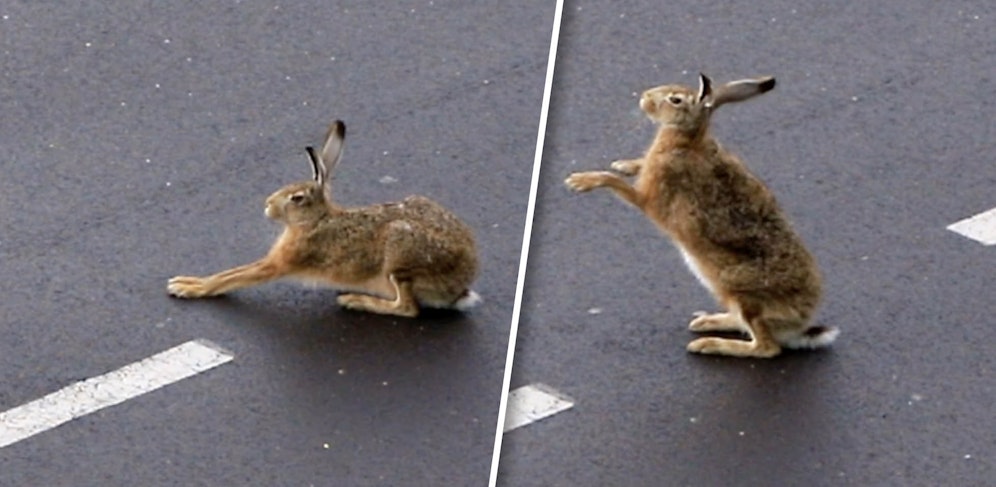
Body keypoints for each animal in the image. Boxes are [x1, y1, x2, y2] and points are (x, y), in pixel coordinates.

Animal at [168, 120, 481, 318]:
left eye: (296, 198)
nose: (267, 205)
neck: (315, 220)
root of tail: (459, 286)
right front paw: (185, 282)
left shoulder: (281, 262)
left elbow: (232, 276)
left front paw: (187, 287)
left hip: (400, 254)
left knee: (407, 308)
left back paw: (355, 301)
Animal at [565, 73, 837, 358]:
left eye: (675, 100)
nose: (644, 97)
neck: (688, 140)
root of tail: (801, 324)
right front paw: (624, 164)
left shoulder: (650, 198)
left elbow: (617, 183)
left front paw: (581, 181)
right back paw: (707, 321)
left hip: (744, 296)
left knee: (766, 347)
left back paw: (708, 344)